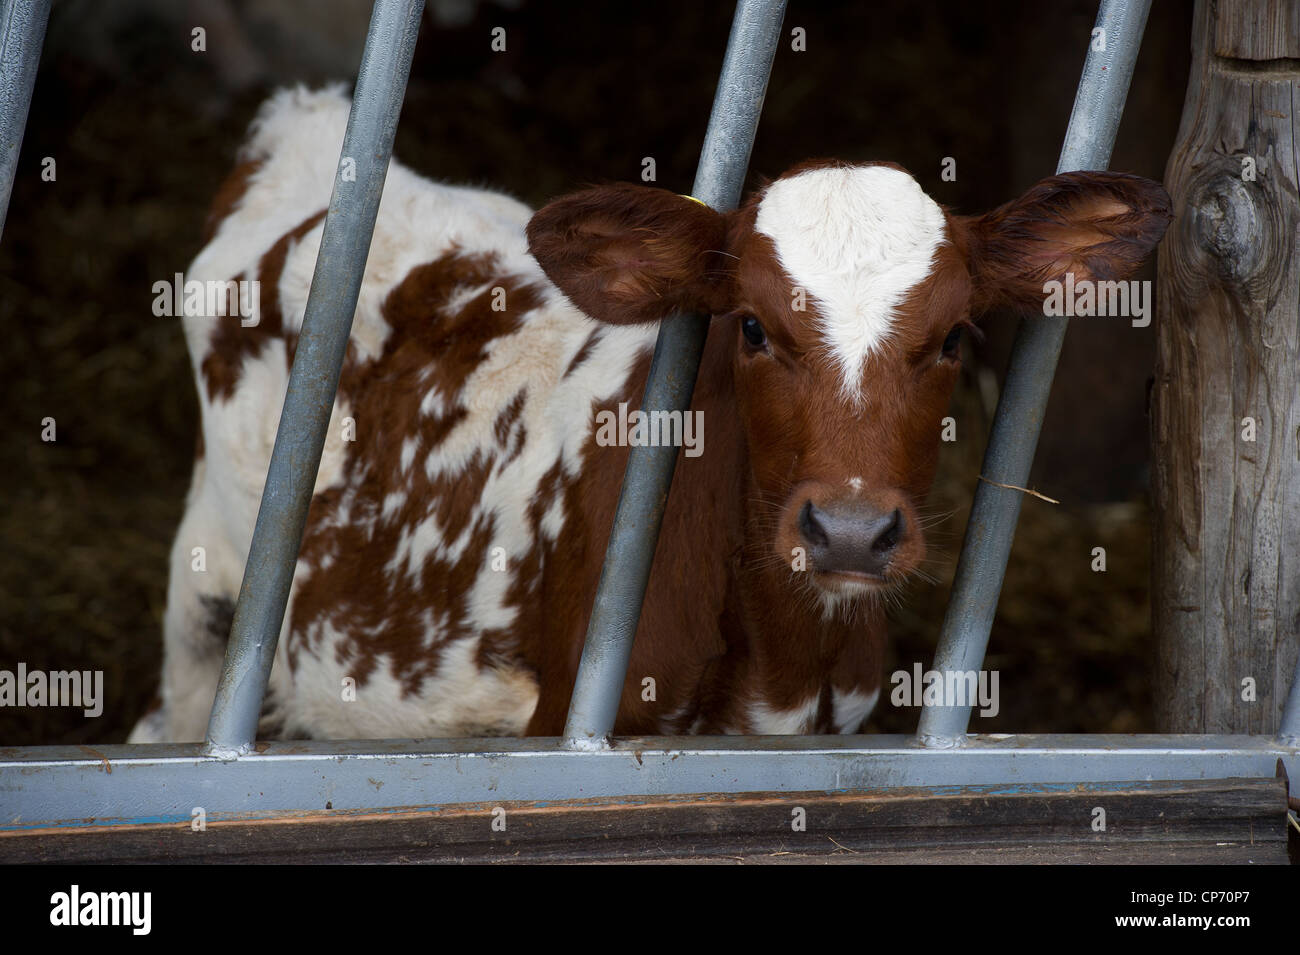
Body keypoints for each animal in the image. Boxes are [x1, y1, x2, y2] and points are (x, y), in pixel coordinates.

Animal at [128, 85, 1171, 744]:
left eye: (956, 337)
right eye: (751, 325)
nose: (848, 530)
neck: (781, 660)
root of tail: (302, 131)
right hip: (206, 589)